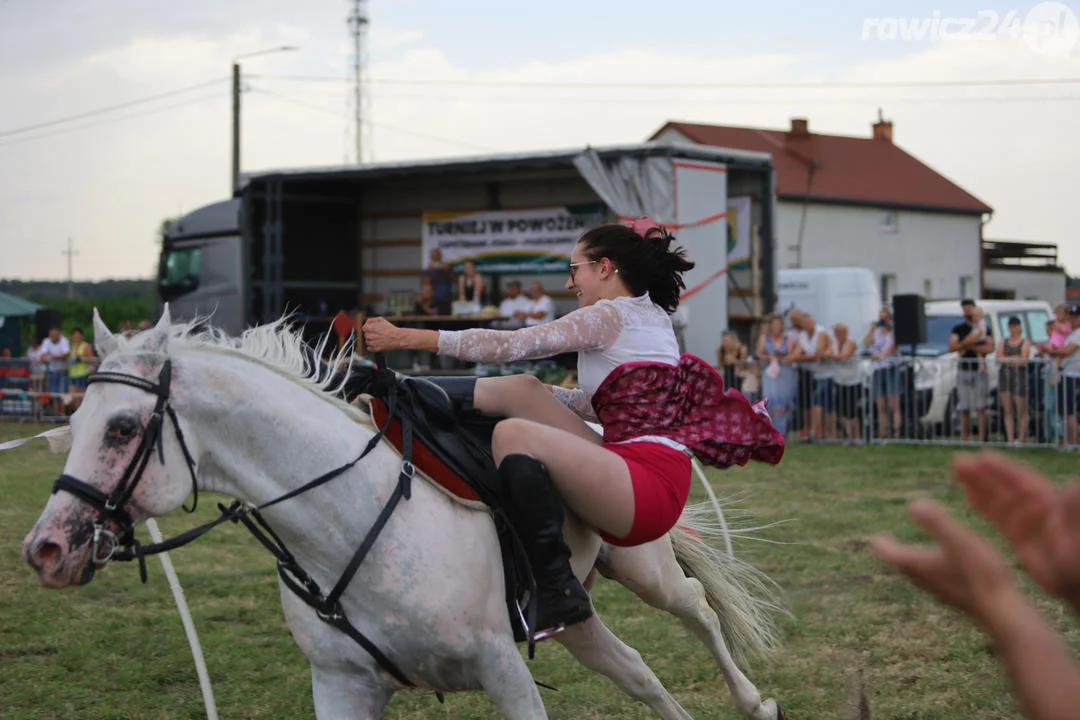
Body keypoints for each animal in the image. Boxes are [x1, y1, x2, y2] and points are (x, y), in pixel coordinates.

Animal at [21, 310, 790, 720]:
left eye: (122, 427)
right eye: (73, 422)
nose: (46, 548)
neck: (348, 524)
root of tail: (598, 423)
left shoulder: (503, 670)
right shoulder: (341, 686)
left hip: (638, 554)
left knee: (697, 607)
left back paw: (755, 700)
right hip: (575, 615)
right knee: (637, 670)